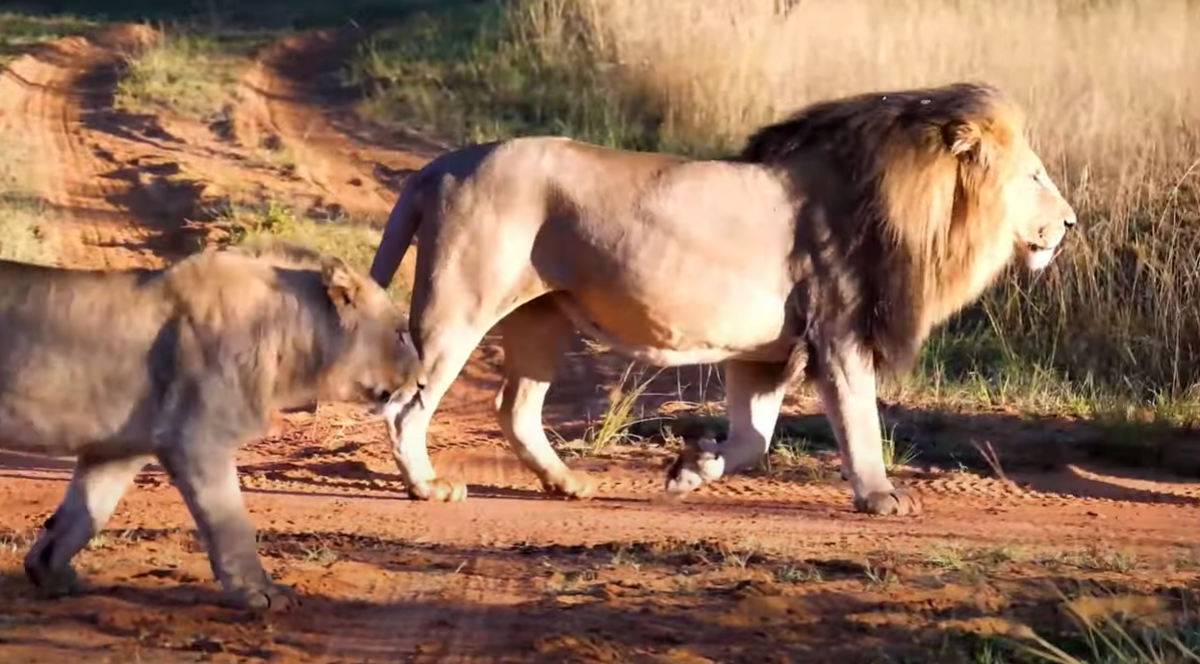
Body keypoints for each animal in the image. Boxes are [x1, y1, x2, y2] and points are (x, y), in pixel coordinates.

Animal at [0, 241, 424, 607]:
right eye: (402, 334)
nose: (422, 383)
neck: (292, 338)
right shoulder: (200, 441)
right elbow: (231, 526)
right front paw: (261, 594)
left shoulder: (118, 449)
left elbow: (82, 516)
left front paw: (49, 573)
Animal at [367, 82, 1080, 516]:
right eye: (1034, 176)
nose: (1071, 224)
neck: (919, 207)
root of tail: (441, 166)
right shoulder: (839, 332)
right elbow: (859, 422)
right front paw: (882, 497)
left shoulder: (764, 354)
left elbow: (753, 441)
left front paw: (690, 469)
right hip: (461, 305)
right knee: (407, 407)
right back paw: (428, 487)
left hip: (541, 316)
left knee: (514, 407)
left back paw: (567, 483)